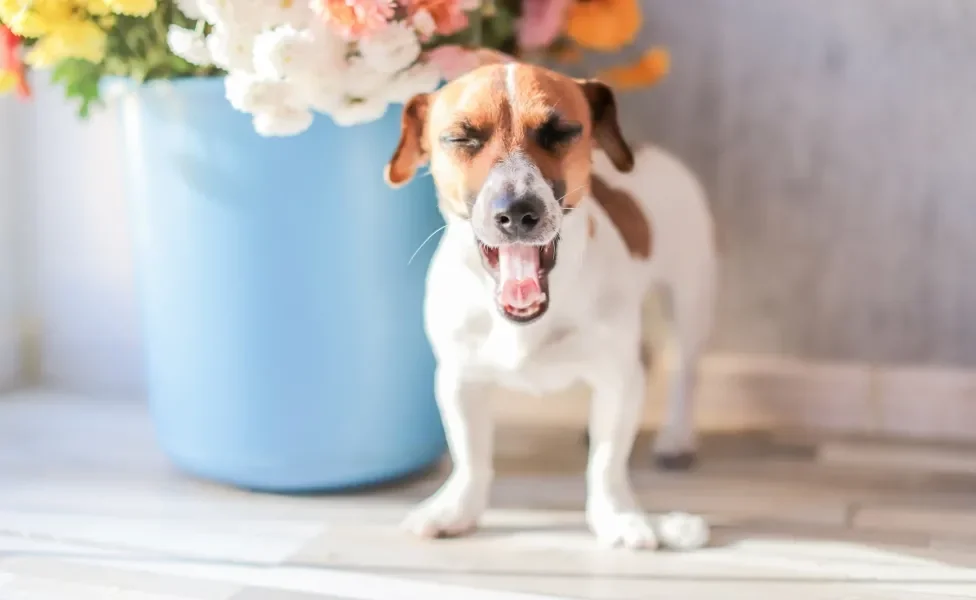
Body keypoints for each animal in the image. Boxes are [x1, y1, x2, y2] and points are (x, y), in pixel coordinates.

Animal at [384, 58, 716, 552]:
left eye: (561, 131)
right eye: (461, 138)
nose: (518, 211)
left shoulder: (617, 377)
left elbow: (608, 461)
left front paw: (618, 516)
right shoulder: (459, 378)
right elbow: (470, 455)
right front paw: (456, 509)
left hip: (690, 299)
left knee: (687, 373)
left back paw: (676, 437)